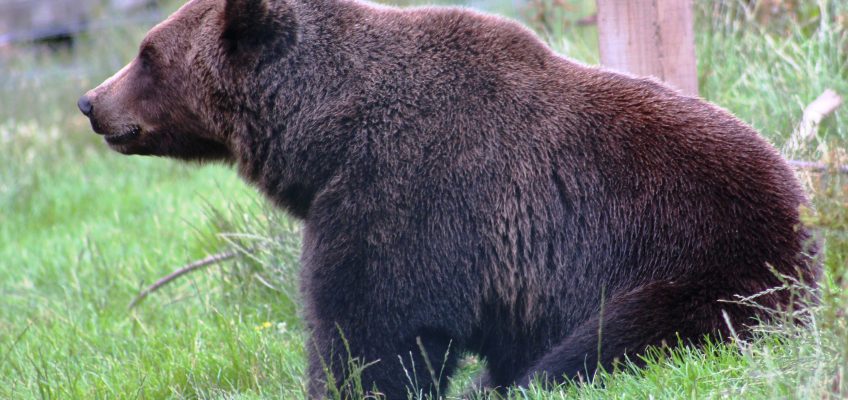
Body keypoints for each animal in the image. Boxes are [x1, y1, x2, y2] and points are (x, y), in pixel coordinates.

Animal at [78, 0, 820, 396]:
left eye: (146, 54)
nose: (90, 101)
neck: (327, 134)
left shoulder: (411, 194)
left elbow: (372, 329)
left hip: (707, 262)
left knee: (616, 339)